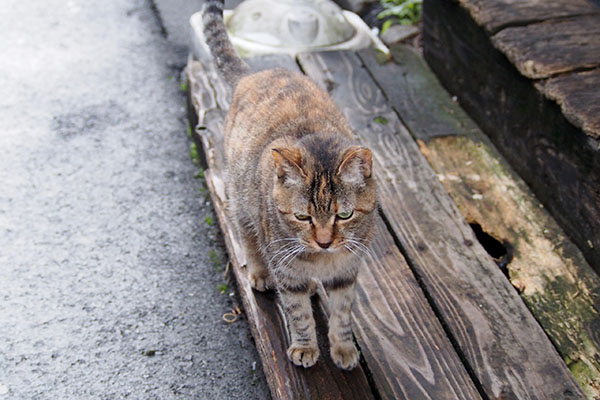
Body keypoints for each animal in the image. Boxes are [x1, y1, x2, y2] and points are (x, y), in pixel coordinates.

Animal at [204, 0, 378, 370]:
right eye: (302, 217)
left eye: (344, 216)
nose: (325, 242)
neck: (323, 261)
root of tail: (253, 74)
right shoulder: (286, 267)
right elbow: (298, 313)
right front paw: (305, 346)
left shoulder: (347, 272)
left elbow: (342, 314)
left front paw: (343, 348)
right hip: (242, 202)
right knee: (249, 238)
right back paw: (260, 273)